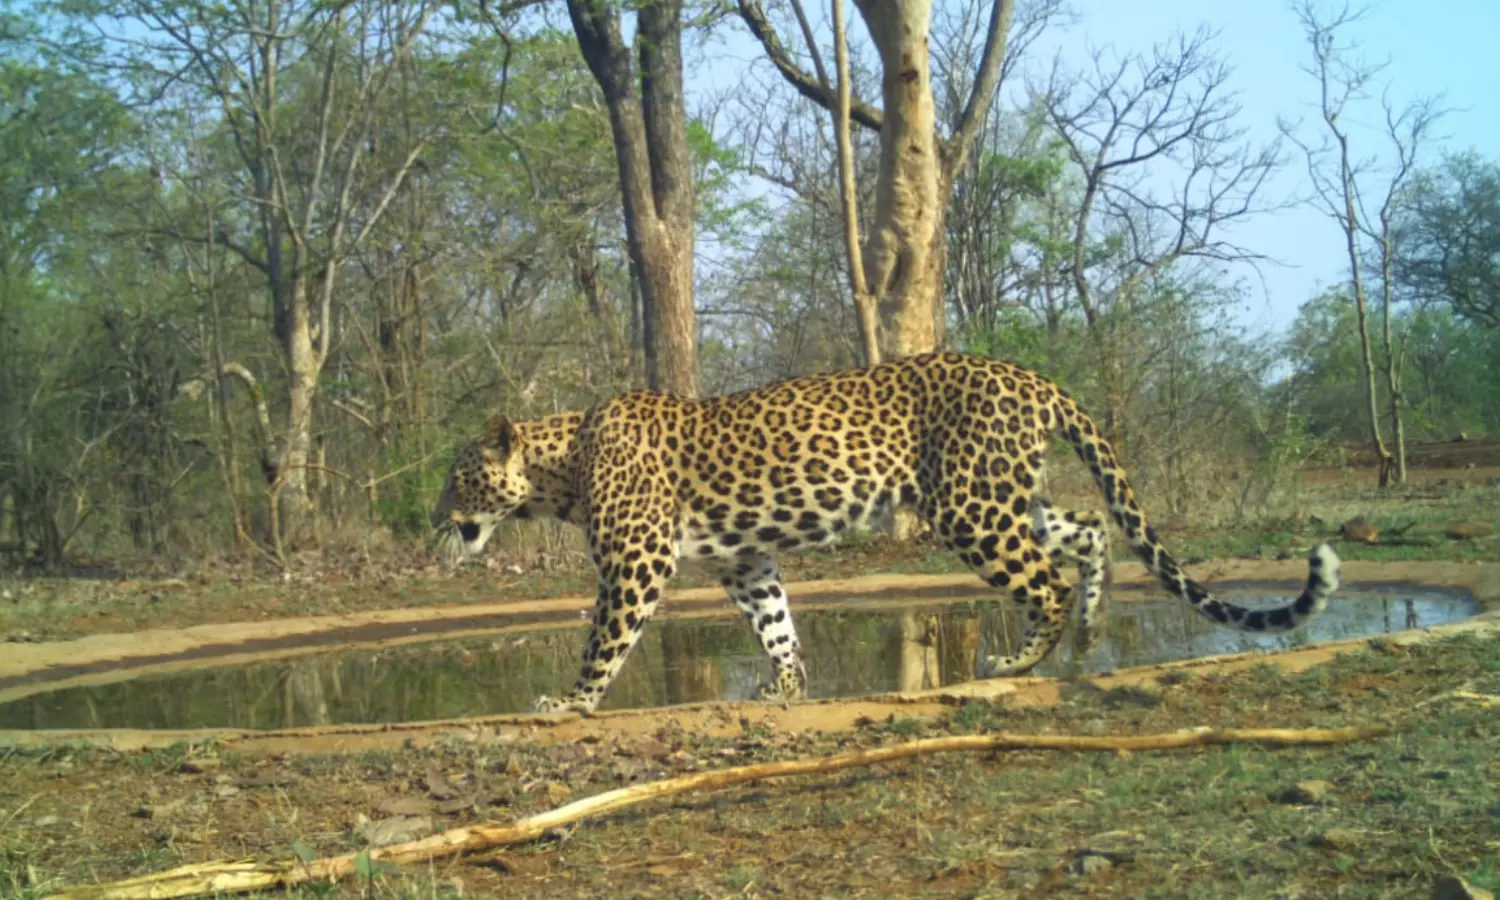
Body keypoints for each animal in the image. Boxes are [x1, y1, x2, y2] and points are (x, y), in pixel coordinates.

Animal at [431, 352, 1341, 714]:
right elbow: (776, 625)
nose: (436, 522)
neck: (563, 465)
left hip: (972, 507)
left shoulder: (636, 562)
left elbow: (603, 640)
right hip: (1007, 495)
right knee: (1086, 531)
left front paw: (569, 703)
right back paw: (1089, 633)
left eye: (458, 477)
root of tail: (1031, 376)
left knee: (1044, 577)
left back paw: (1017, 661)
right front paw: (787, 689)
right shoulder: (745, 560)